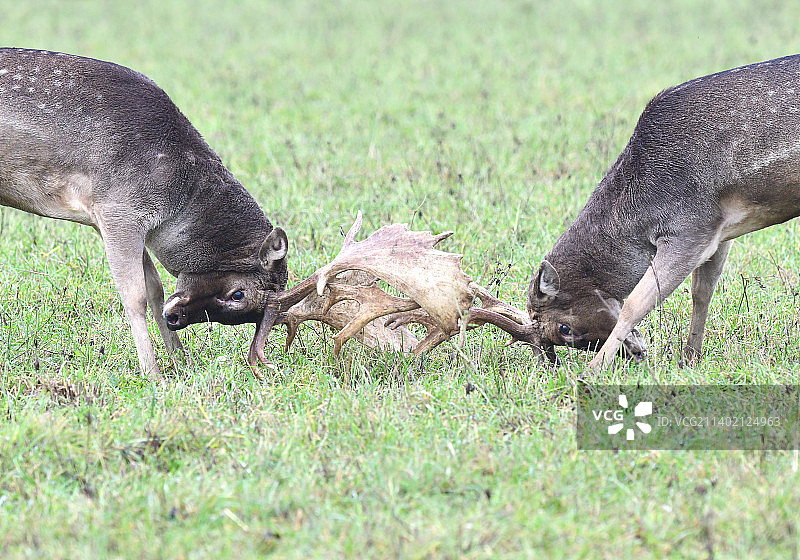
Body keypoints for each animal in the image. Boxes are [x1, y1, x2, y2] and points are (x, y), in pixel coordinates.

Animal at [0, 48, 289, 375]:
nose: (175, 319)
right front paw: (151, 371)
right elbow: (134, 295)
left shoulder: (116, 221)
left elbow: (155, 288)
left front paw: (181, 359)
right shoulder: (117, 208)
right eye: (238, 294)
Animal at [527, 54, 800, 372]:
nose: (634, 353)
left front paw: (593, 369)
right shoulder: (722, 231)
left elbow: (635, 303)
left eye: (564, 328)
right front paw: (690, 358)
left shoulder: (691, 227)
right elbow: (702, 291)